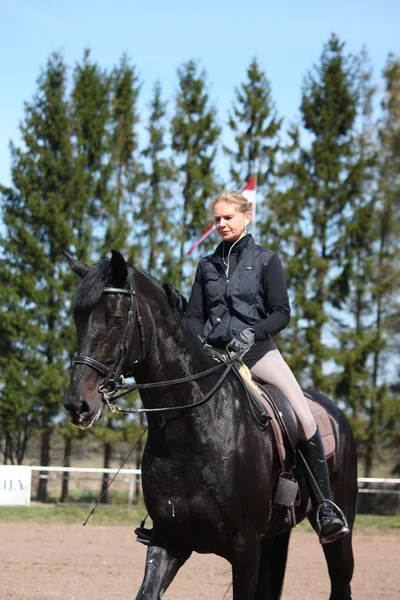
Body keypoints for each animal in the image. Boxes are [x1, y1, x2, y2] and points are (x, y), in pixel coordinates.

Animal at [63, 250, 360, 600]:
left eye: (118, 320)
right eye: (78, 319)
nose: (77, 404)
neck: (194, 430)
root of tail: (336, 414)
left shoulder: (245, 547)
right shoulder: (169, 539)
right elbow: (147, 591)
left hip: (336, 531)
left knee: (341, 579)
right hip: (273, 536)